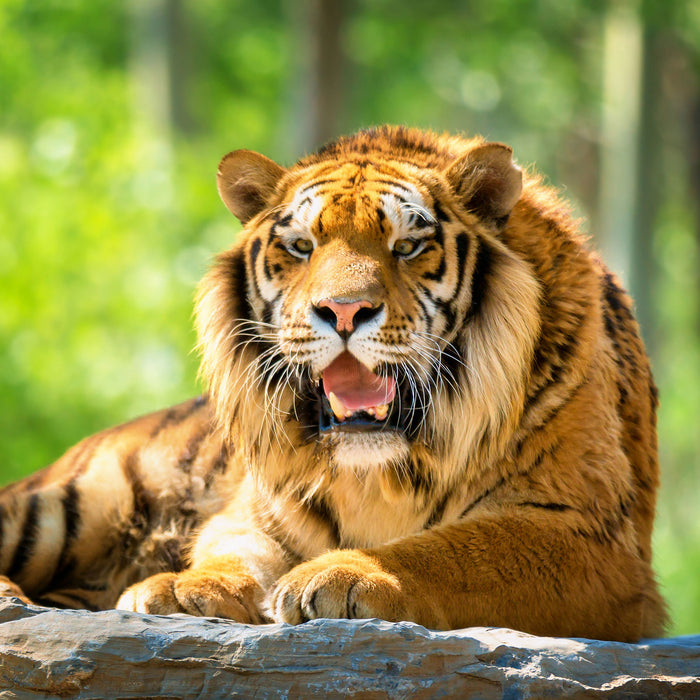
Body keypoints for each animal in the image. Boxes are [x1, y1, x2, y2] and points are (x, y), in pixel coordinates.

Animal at [0, 124, 668, 640]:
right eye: (301, 246)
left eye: (408, 245)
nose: (344, 311)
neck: (378, 474)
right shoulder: (256, 512)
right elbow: (230, 552)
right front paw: (180, 589)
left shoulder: (589, 535)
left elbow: (453, 551)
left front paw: (343, 576)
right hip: (72, 502)